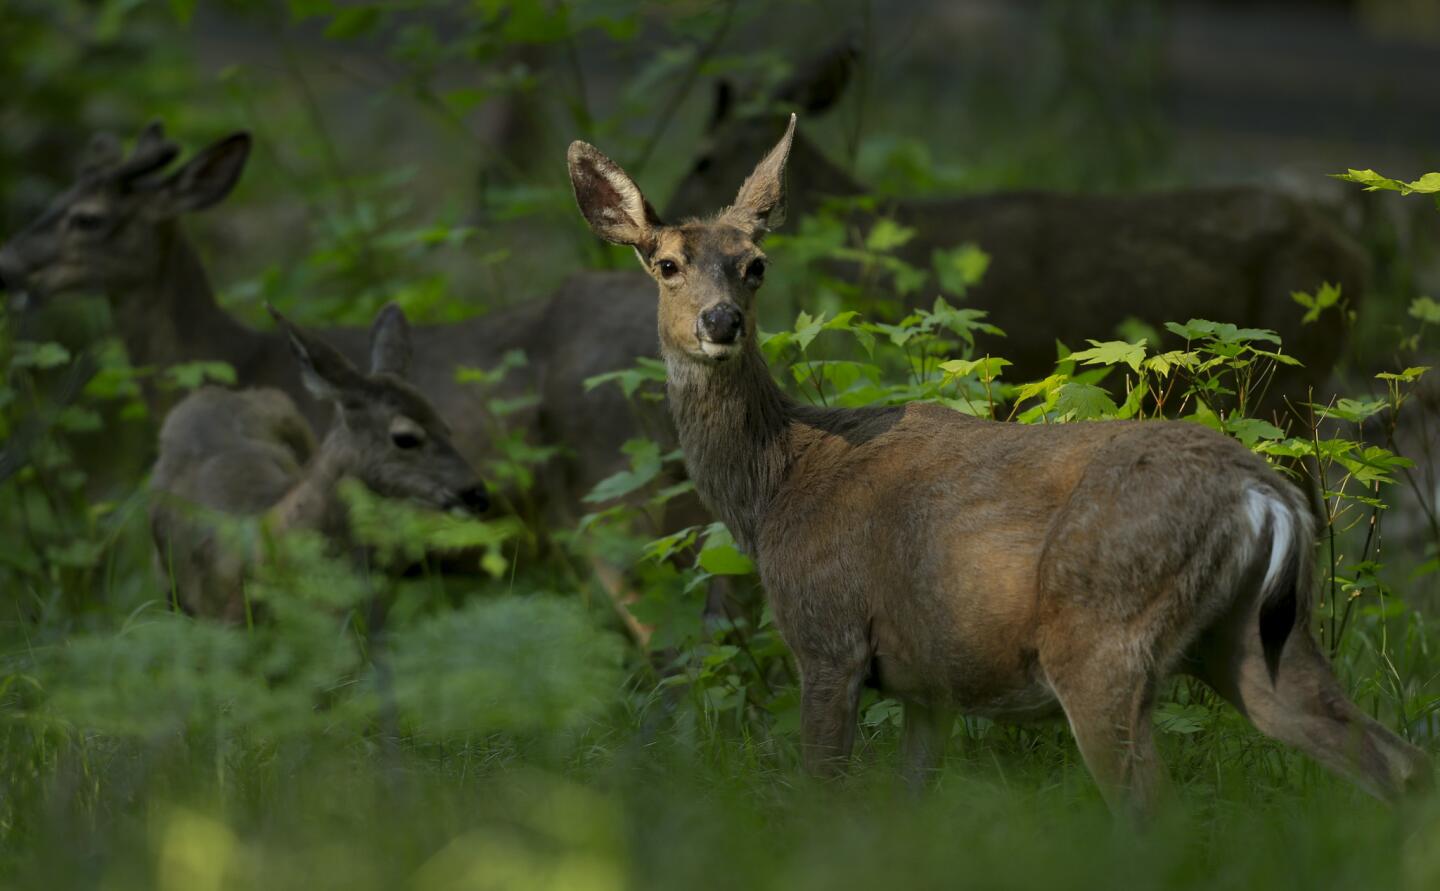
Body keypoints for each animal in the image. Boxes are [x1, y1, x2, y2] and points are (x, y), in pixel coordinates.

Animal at [564, 115, 1428, 817]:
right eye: (666, 262)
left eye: (756, 264)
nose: (720, 322)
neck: (777, 484)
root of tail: (1266, 497)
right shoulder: (928, 682)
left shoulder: (827, 632)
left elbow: (823, 792)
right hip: (1256, 632)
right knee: (1391, 757)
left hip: (1102, 631)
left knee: (1154, 806)